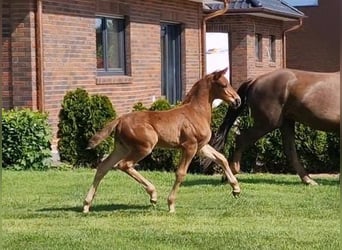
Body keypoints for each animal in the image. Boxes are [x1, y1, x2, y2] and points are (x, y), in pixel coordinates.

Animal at [84, 68, 242, 213]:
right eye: (223, 84)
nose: (237, 100)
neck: (196, 111)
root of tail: (120, 119)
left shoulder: (201, 146)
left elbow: (221, 158)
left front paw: (236, 189)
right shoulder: (190, 146)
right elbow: (181, 173)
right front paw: (171, 204)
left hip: (122, 147)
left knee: (103, 167)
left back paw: (86, 205)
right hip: (144, 147)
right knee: (124, 165)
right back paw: (153, 194)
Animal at [206, 69, 340, 186]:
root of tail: (255, 80)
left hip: (285, 122)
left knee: (290, 151)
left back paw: (308, 180)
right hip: (268, 123)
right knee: (241, 138)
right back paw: (232, 171)